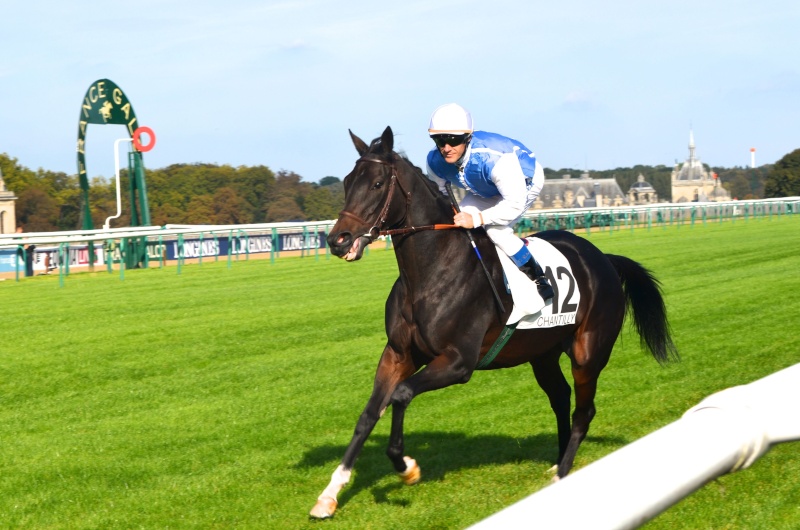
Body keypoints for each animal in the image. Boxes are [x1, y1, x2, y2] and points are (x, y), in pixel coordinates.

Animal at [310, 125, 680, 516]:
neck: (430, 274)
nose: (338, 240)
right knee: (561, 397)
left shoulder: (458, 362)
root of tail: (604, 259)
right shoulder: (397, 354)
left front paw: (405, 466)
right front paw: (330, 494)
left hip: (588, 352)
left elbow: (401, 394)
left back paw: (562, 474)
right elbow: (368, 415)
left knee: (584, 410)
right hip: (543, 353)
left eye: (378, 184)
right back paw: (558, 462)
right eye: (347, 182)